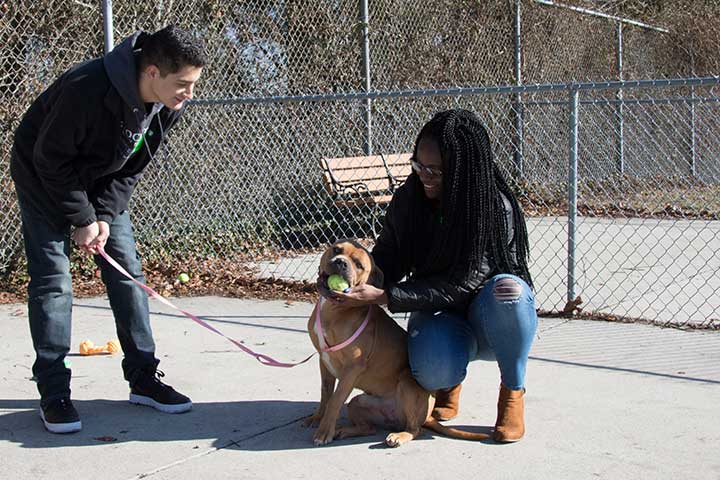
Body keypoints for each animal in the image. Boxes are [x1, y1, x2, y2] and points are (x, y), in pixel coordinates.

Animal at [300, 240, 486, 446]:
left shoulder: (351, 369)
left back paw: (399, 436)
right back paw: (346, 431)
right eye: (337, 249)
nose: (341, 262)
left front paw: (324, 432)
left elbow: (335, 400)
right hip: (359, 403)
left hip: (407, 383)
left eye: (359, 265)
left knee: (416, 430)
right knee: (369, 428)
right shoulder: (324, 361)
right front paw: (317, 419)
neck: (334, 310)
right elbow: (325, 394)